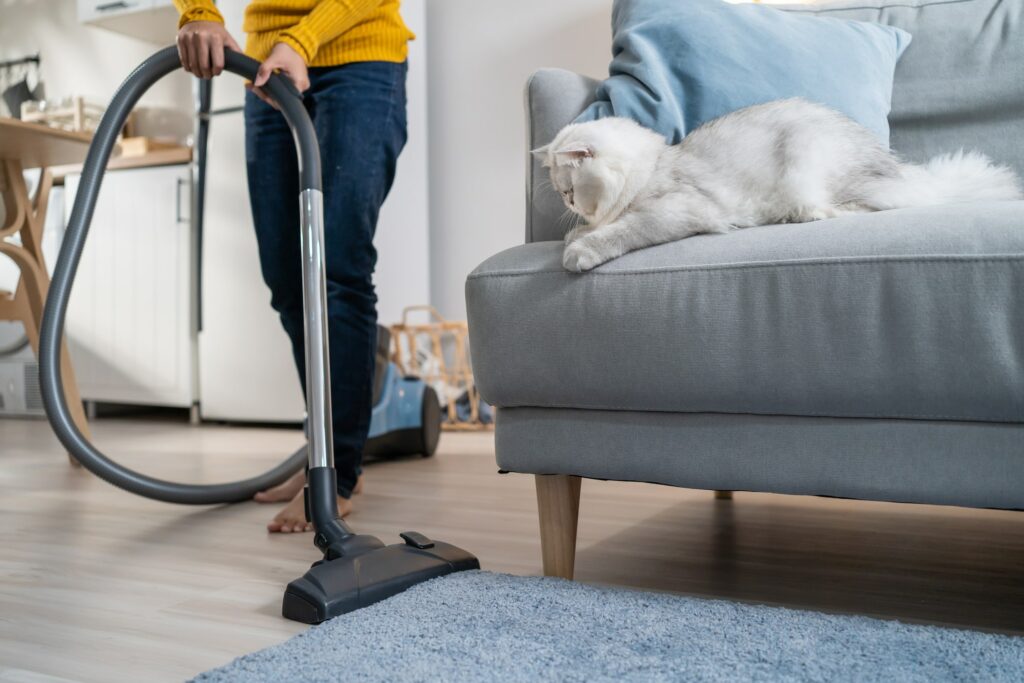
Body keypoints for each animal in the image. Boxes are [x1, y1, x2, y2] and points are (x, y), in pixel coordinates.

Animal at [540, 100, 1019, 270]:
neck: (655, 164)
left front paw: (578, 251)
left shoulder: (676, 209)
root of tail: (902, 169)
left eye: (568, 189)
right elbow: (600, 227)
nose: (569, 203)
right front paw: (576, 236)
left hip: (810, 162)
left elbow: (622, 230)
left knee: (854, 208)